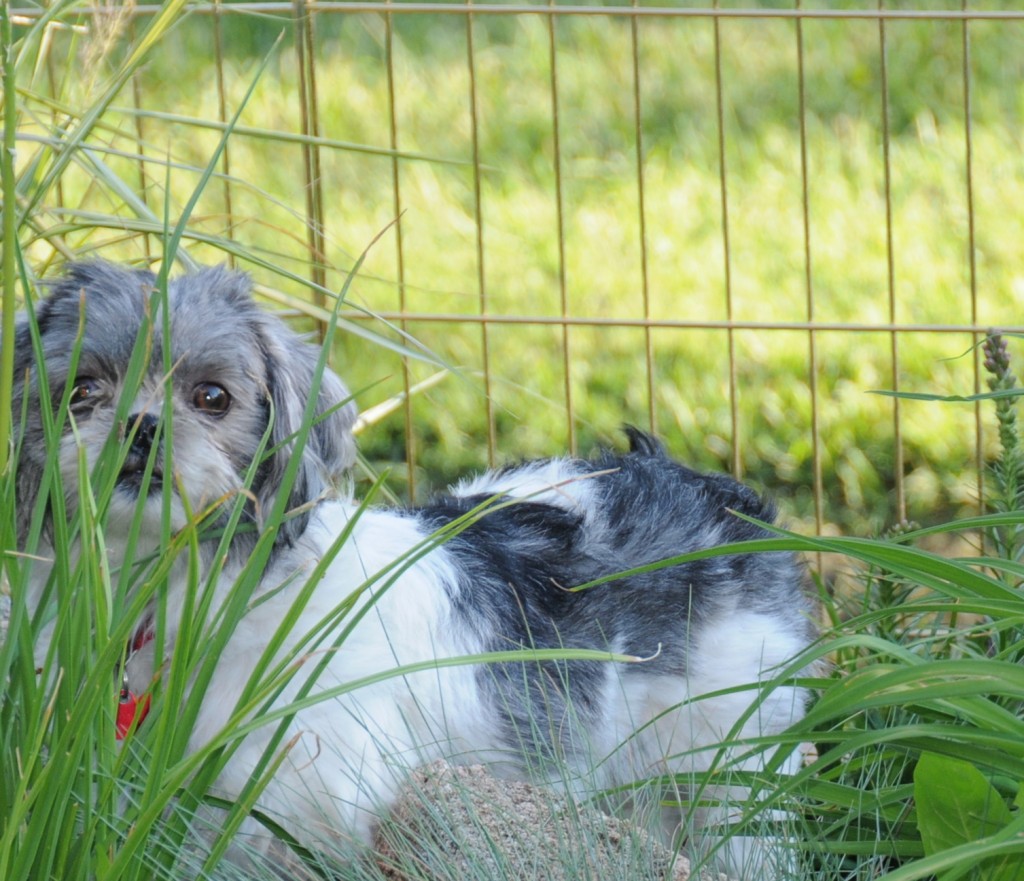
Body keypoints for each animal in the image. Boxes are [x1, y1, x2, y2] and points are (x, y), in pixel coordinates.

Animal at [14, 258, 815, 876]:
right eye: (80, 388)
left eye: (213, 396)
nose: (141, 426)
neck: (186, 595)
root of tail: (710, 493)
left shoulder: (301, 806)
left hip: (729, 765)